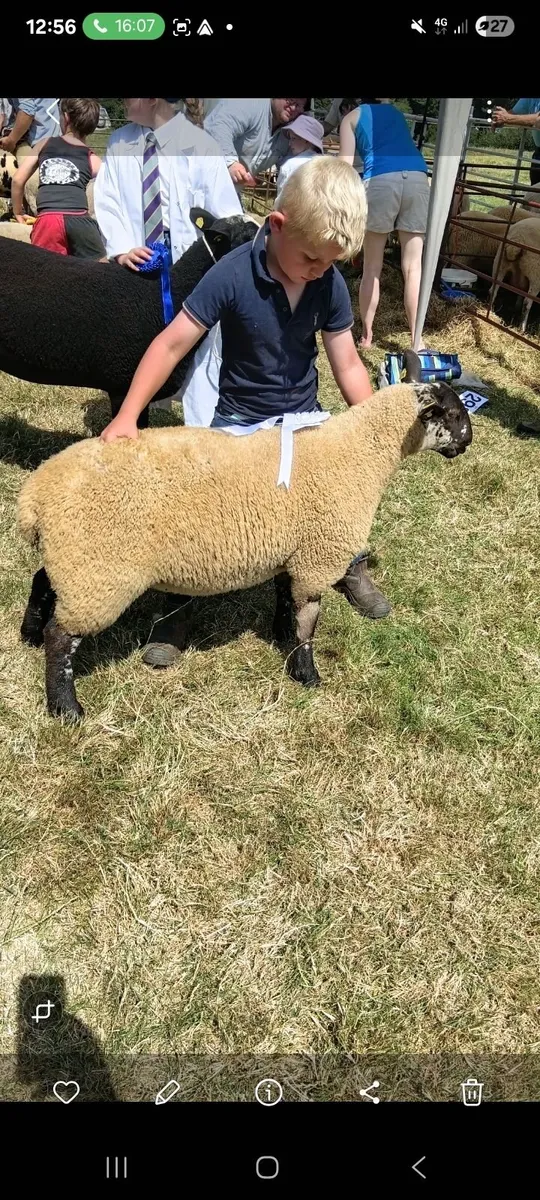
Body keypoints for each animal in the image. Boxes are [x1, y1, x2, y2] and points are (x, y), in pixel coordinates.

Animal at [17, 351, 473, 721]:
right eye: (452, 414)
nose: (468, 442)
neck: (359, 453)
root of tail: (35, 497)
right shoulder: (318, 557)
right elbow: (309, 622)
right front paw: (307, 674)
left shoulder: (294, 550)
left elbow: (287, 600)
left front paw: (281, 637)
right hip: (100, 572)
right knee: (63, 638)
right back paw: (65, 707)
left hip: (75, 559)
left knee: (42, 581)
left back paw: (29, 634)